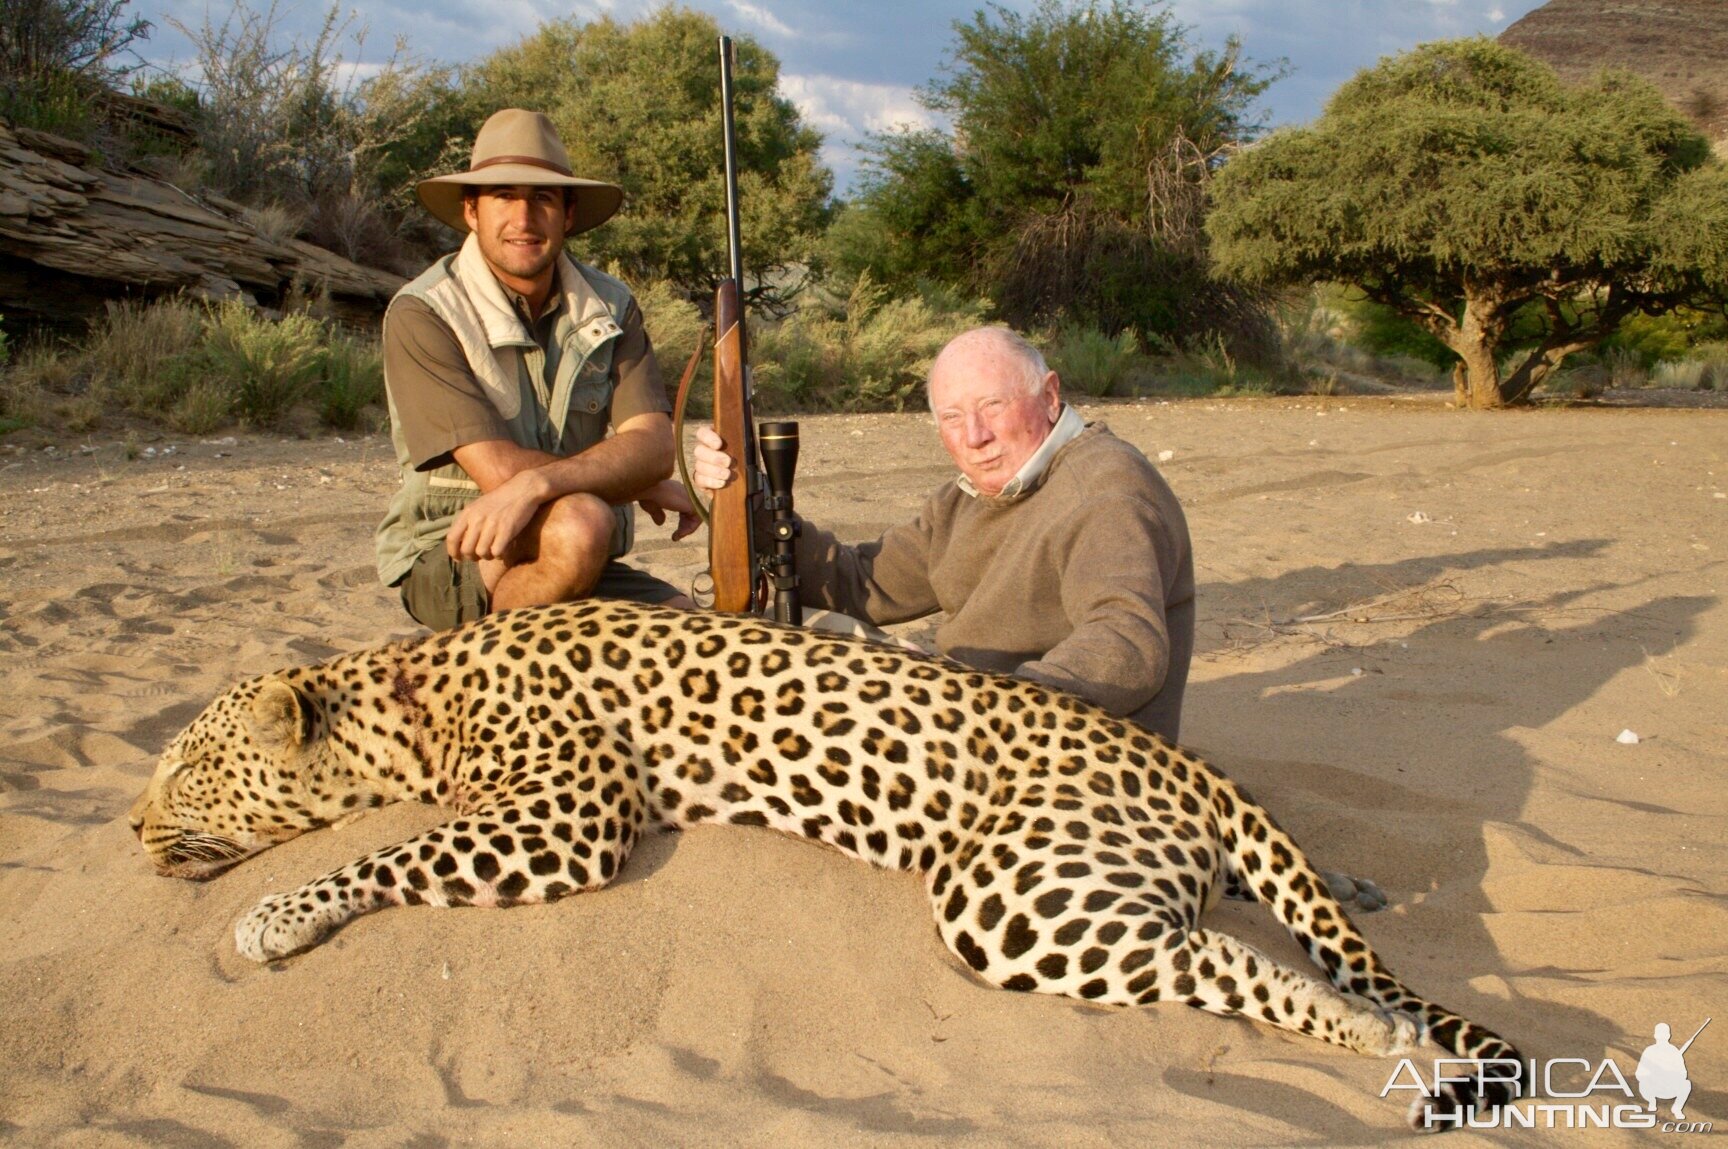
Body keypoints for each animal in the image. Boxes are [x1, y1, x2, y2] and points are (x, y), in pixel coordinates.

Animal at [127, 594, 1520, 1126]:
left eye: (186, 772)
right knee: (1234, 941)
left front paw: (274, 919)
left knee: (1242, 964)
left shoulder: (567, 815)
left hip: (1011, 893)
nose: (133, 836)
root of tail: (1187, 768)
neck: (404, 699)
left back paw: (1375, 1035)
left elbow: (394, 854)